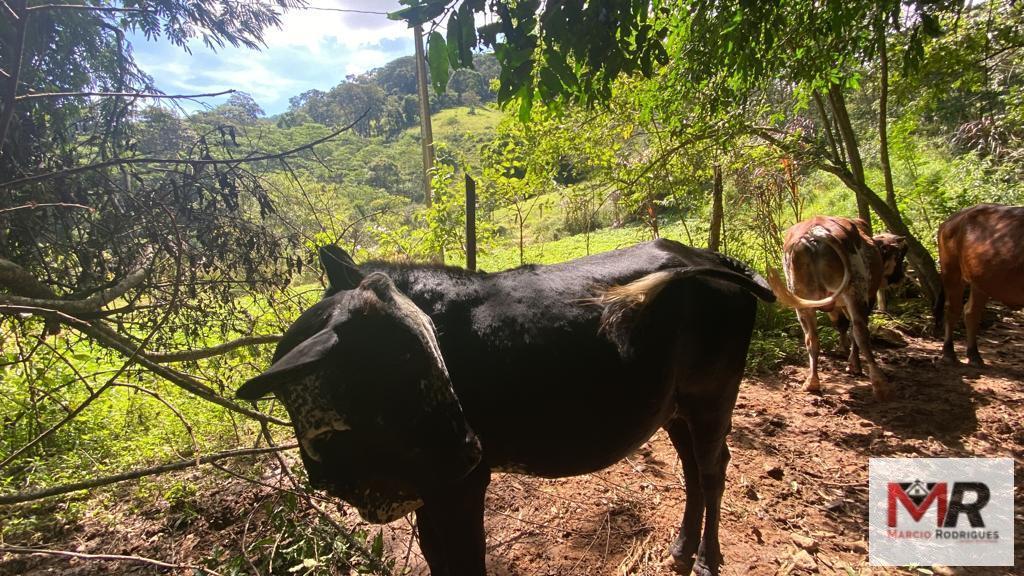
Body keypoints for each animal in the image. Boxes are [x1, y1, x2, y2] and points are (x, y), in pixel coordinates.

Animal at [235, 239, 770, 573]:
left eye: (427, 352)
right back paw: (681, 548)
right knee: (691, 469)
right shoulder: (430, 494)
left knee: (712, 468)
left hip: (712, 397)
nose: (470, 449)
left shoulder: (461, 488)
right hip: (675, 408)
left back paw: (706, 558)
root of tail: (707, 256)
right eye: (399, 364)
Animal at [765, 215, 909, 399]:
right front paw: (853, 364)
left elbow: (841, 325)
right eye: (899, 256)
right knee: (861, 332)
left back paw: (812, 382)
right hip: (855, 291)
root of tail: (816, 232)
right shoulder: (867, 299)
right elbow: (852, 330)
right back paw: (880, 384)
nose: (901, 278)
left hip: (802, 301)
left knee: (811, 339)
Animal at [937, 202, 1024, 362]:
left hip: (981, 282)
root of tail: (951, 220)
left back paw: (974, 354)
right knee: (953, 309)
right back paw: (949, 352)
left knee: (971, 312)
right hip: (952, 272)